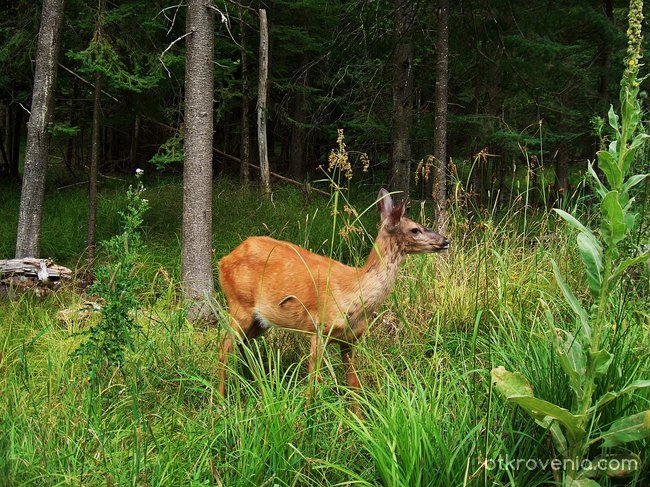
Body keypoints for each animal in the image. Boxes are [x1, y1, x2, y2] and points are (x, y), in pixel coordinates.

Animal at [215, 189, 448, 398]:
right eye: (415, 229)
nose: (445, 241)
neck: (355, 293)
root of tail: (223, 260)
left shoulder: (351, 340)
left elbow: (354, 385)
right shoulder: (319, 330)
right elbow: (313, 384)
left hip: (260, 320)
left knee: (243, 347)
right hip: (239, 304)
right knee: (224, 347)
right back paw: (219, 400)